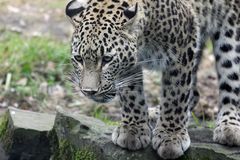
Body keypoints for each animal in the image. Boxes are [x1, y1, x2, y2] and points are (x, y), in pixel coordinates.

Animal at [64, 0, 239, 159]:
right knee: (194, 93)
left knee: (230, 77)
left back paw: (230, 126)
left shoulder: (183, 47)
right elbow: (132, 94)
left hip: (231, 31)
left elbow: (176, 94)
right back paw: (155, 113)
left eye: (107, 59)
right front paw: (133, 129)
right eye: (79, 59)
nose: (89, 91)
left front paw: (171, 136)